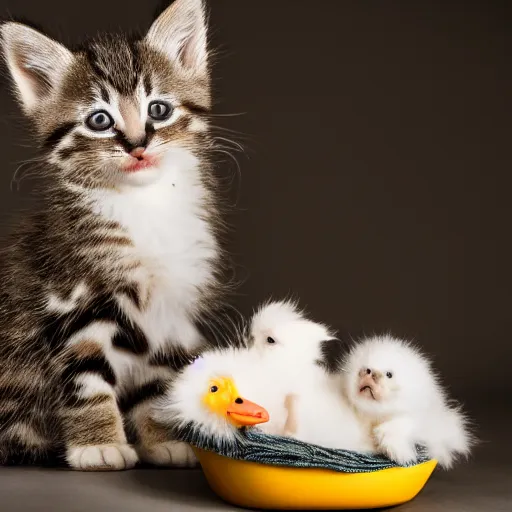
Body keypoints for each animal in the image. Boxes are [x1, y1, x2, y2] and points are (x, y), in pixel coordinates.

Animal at [0, 0, 234, 472]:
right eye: (99, 120)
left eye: (158, 110)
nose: (137, 143)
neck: (144, 206)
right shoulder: (72, 302)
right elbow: (86, 381)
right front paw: (98, 444)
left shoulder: (171, 310)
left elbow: (159, 378)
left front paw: (164, 438)